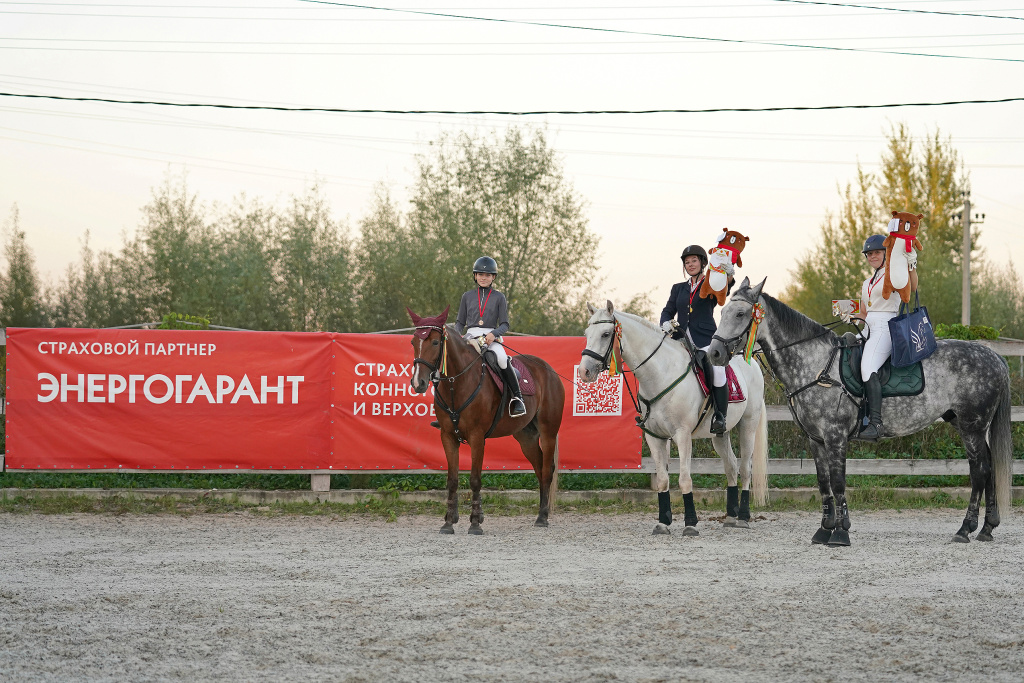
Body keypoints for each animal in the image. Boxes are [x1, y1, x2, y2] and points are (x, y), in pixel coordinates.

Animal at [407, 307, 569, 536]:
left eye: (436, 342)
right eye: (414, 342)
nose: (417, 383)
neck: (457, 384)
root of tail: (548, 369)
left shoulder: (477, 437)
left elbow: (475, 479)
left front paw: (475, 522)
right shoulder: (447, 436)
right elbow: (452, 480)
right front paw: (449, 522)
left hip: (548, 432)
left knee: (547, 470)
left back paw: (542, 517)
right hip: (526, 438)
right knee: (538, 468)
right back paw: (540, 512)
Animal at [577, 301, 770, 536]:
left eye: (606, 334)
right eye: (587, 334)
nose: (584, 372)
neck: (660, 374)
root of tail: (750, 360)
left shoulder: (682, 435)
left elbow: (685, 479)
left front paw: (690, 523)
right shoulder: (655, 437)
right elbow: (662, 480)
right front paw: (663, 523)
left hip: (748, 425)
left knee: (745, 469)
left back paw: (742, 517)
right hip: (720, 433)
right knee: (731, 466)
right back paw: (731, 516)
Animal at [708, 276, 1011, 544]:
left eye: (739, 314)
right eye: (722, 311)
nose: (714, 354)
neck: (815, 365)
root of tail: (994, 356)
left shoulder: (835, 436)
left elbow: (838, 482)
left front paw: (841, 533)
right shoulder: (816, 439)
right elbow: (823, 483)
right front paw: (824, 530)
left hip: (972, 426)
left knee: (980, 471)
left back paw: (965, 529)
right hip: (967, 425)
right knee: (989, 468)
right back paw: (987, 528)